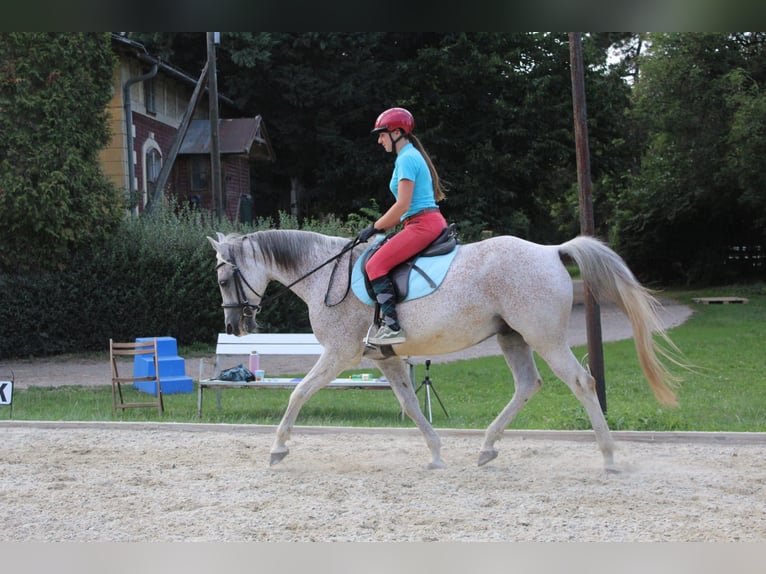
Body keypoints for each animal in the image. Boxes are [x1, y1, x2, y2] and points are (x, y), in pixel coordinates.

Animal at [208, 229, 681, 472]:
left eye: (224, 279)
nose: (234, 327)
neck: (328, 273)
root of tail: (550, 252)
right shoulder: (387, 359)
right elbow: (412, 406)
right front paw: (436, 453)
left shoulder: (339, 355)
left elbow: (298, 393)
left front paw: (277, 448)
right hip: (513, 337)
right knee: (528, 385)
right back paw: (487, 447)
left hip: (543, 337)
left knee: (582, 382)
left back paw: (609, 456)